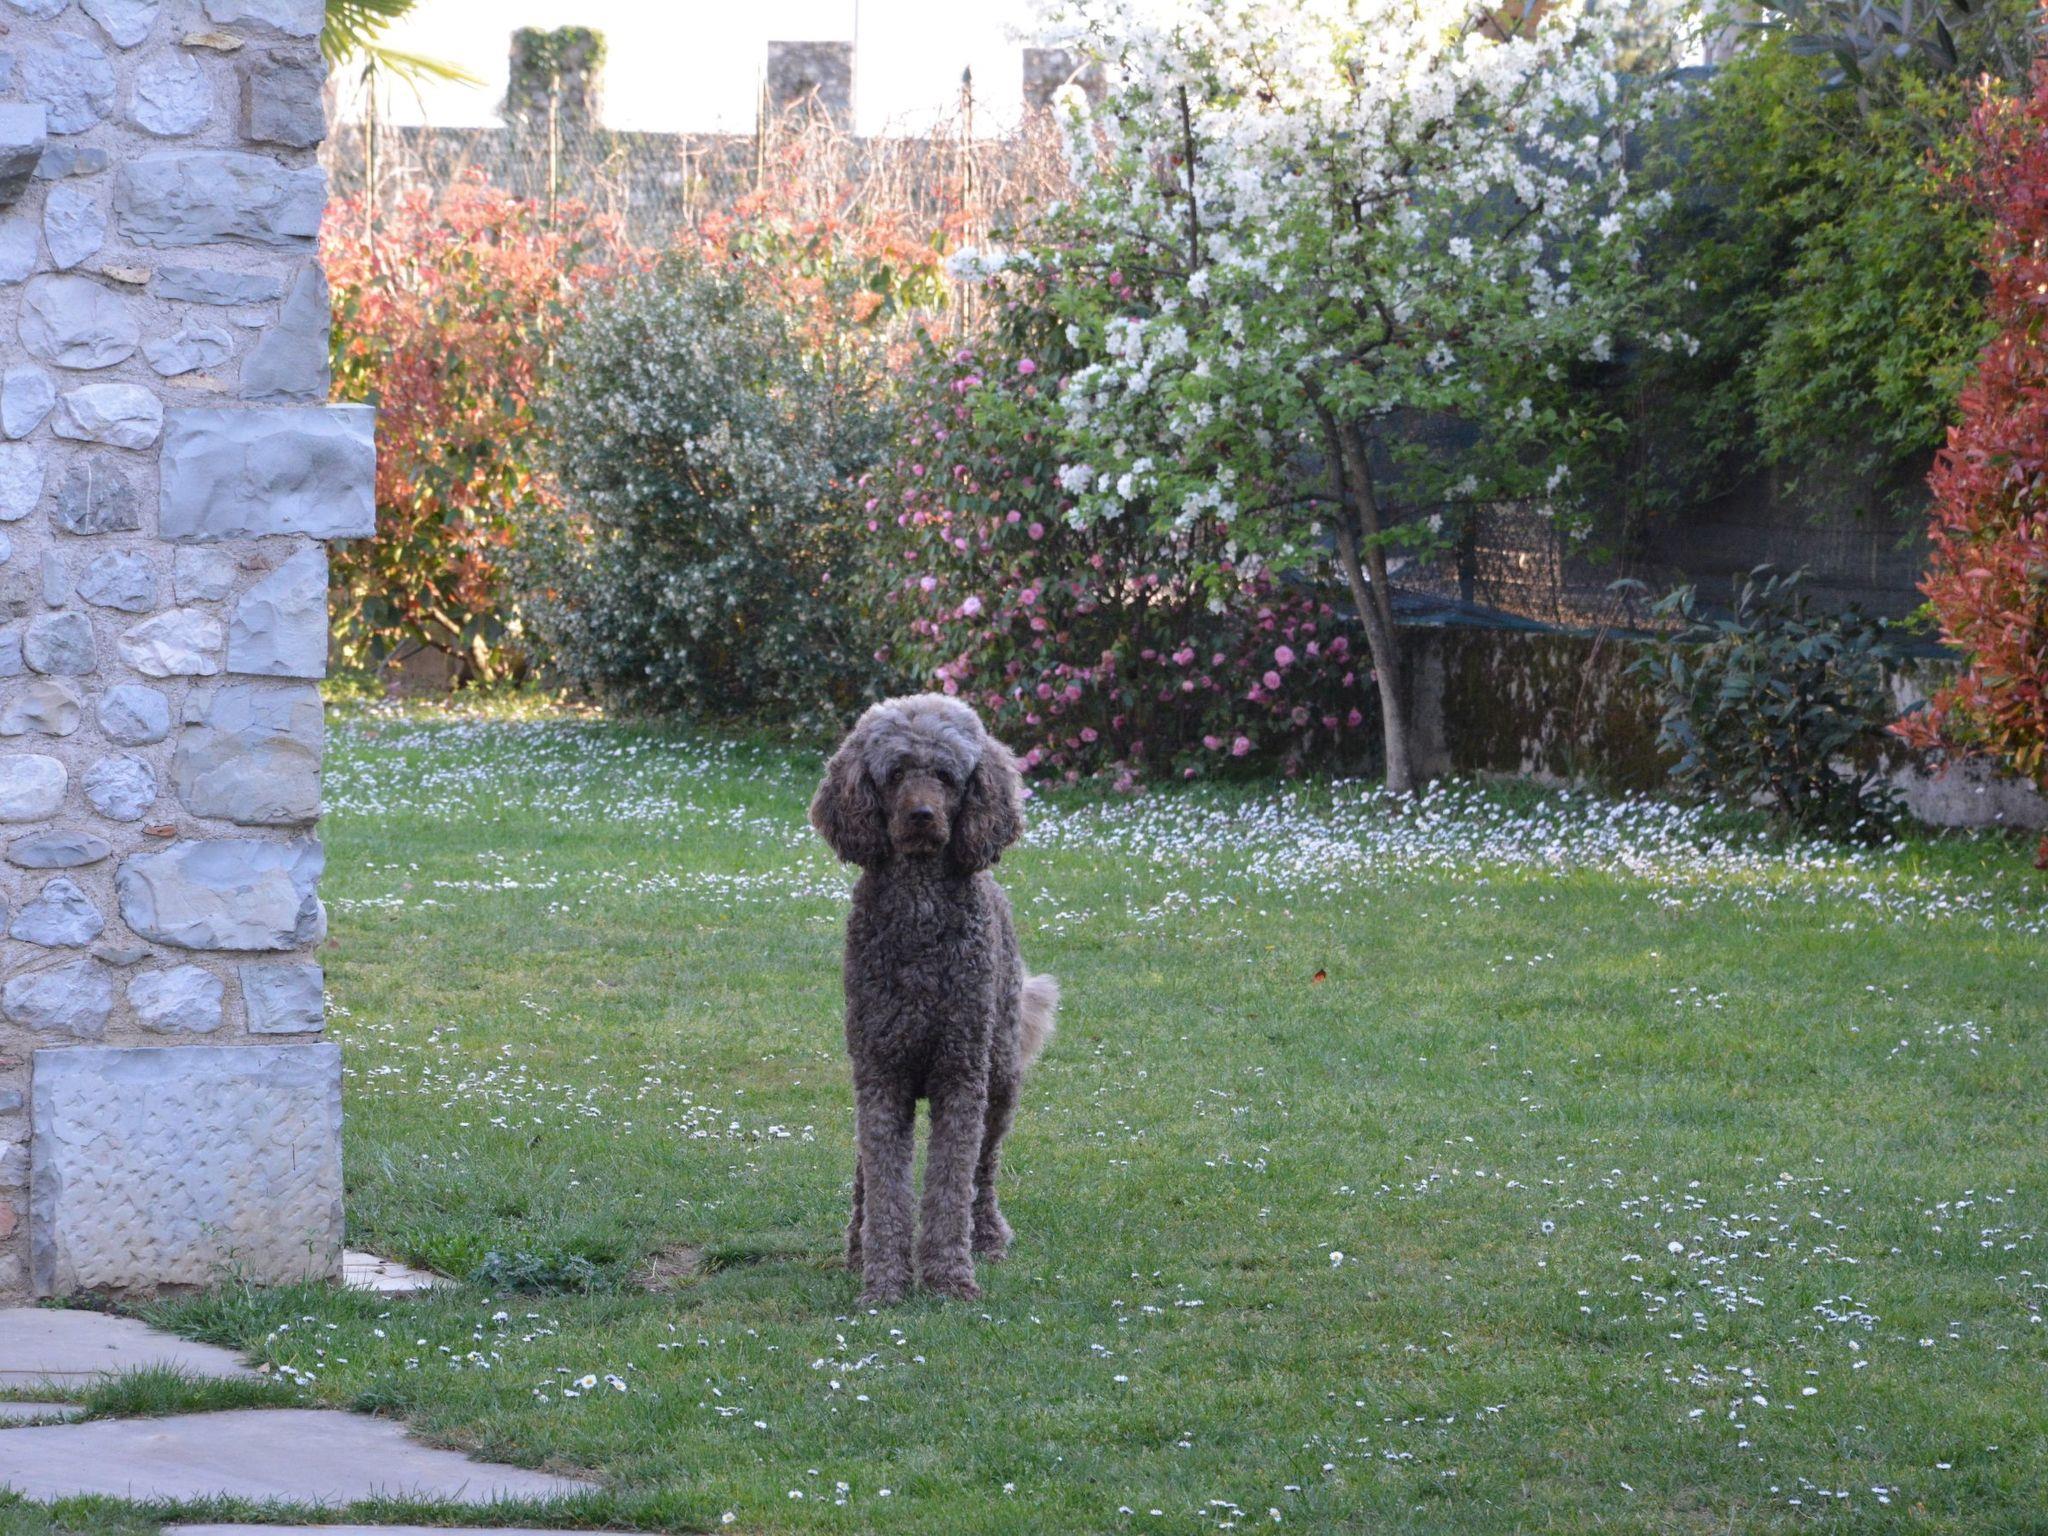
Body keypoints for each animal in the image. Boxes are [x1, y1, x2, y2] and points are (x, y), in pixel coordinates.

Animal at [809, 694, 1058, 1304]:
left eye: (947, 776)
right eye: (896, 772)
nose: (922, 815)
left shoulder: (960, 1075)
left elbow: (950, 1184)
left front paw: (948, 1278)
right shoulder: (881, 1074)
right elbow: (886, 1185)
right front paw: (883, 1283)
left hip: (1001, 1073)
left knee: (984, 1170)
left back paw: (987, 1236)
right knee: (865, 1173)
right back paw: (856, 1247)